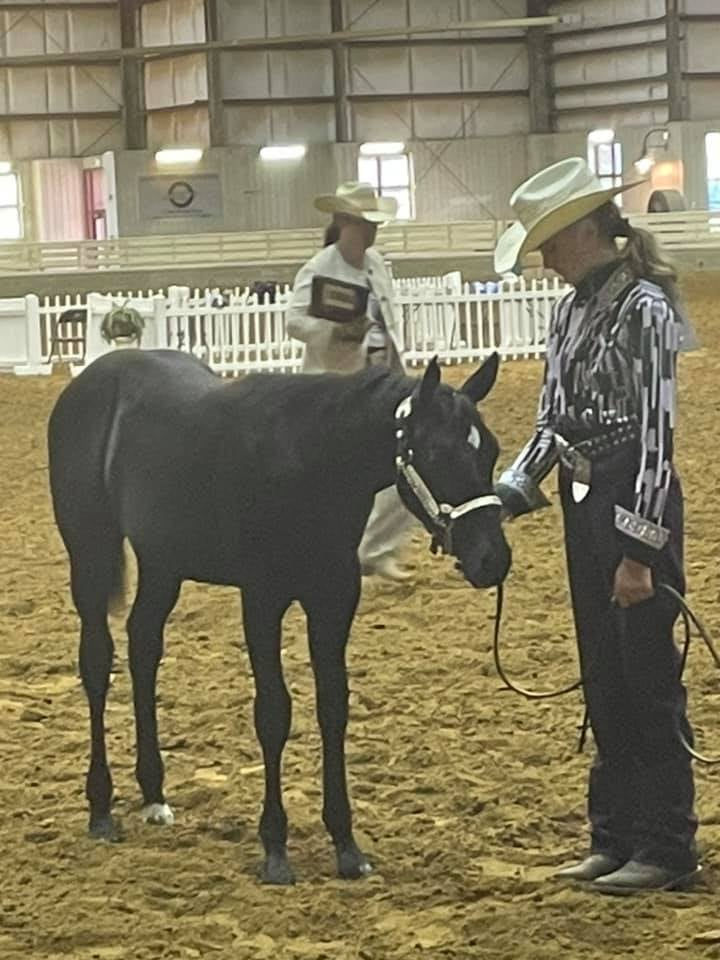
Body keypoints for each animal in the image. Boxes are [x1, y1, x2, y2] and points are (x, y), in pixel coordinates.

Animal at [47, 348, 511, 884]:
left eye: (490, 449)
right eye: (436, 453)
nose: (492, 560)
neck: (307, 461)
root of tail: (92, 378)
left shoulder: (333, 599)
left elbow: (333, 708)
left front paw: (346, 846)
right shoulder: (262, 600)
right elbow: (273, 713)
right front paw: (275, 850)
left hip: (163, 562)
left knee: (143, 648)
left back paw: (154, 795)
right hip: (90, 550)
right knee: (97, 663)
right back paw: (101, 809)